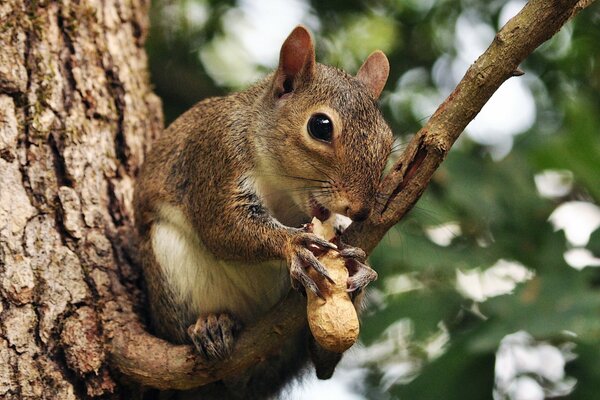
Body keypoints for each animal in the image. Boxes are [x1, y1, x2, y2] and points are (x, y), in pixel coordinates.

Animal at [133, 26, 392, 398]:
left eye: (387, 139)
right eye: (321, 126)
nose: (360, 210)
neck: (283, 190)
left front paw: (357, 262)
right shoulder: (215, 157)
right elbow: (223, 227)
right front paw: (294, 245)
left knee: (323, 363)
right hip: (170, 270)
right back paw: (210, 327)